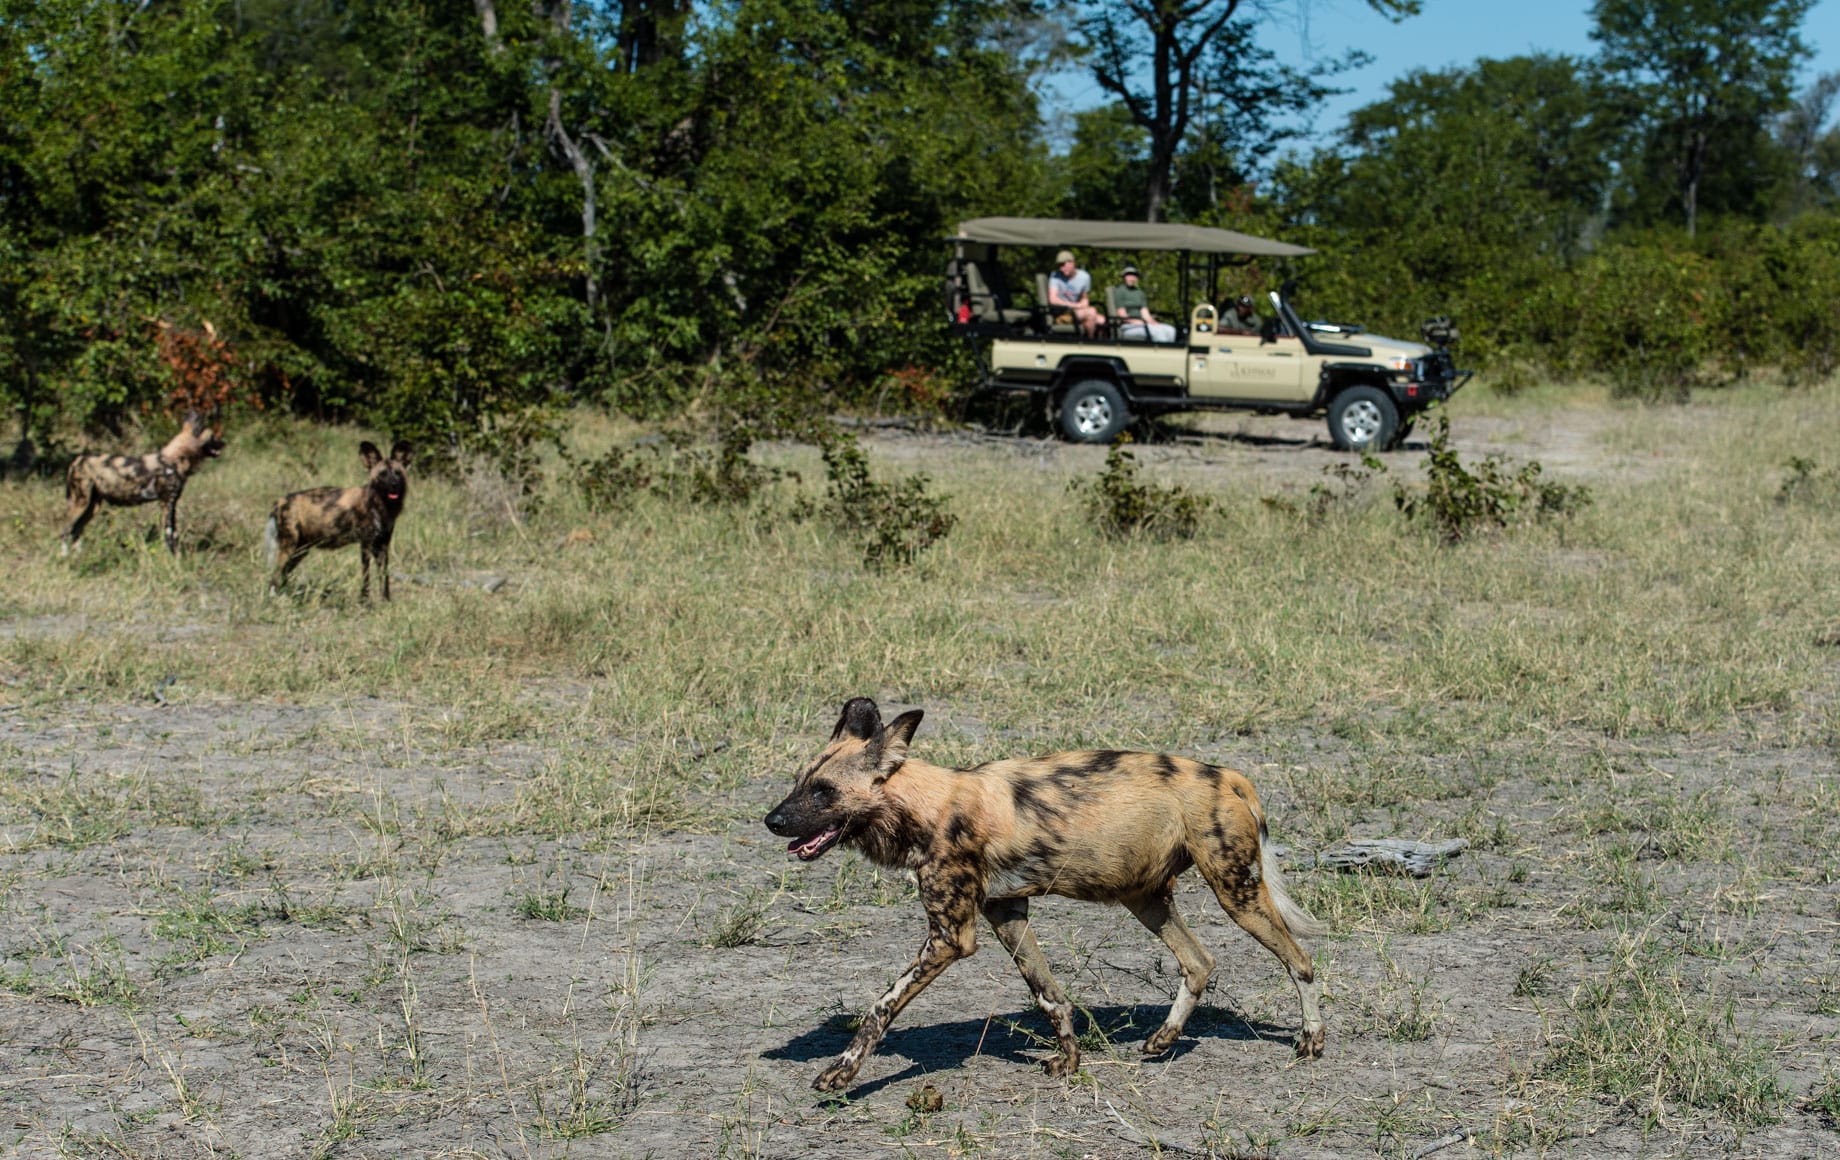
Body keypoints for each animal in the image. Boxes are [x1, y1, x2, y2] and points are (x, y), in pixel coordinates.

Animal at [62, 410, 225, 556]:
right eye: (213, 437)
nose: (224, 443)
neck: (175, 459)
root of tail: (77, 460)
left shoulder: (169, 504)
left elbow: (172, 534)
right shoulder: (167, 503)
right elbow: (169, 534)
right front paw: (173, 558)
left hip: (93, 506)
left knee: (77, 529)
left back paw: (78, 556)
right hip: (80, 503)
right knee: (66, 529)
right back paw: (65, 556)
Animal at [264, 436, 412, 600]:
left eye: (397, 473)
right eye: (383, 474)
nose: (394, 484)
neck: (381, 504)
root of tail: (280, 501)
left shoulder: (382, 545)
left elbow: (384, 576)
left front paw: (386, 601)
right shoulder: (366, 544)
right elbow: (366, 575)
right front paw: (365, 601)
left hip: (300, 550)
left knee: (283, 576)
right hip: (289, 547)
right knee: (275, 577)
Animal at [761, 699, 1324, 1097]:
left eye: (824, 791)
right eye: (798, 784)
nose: (772, 820)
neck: (927, 807)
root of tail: (1228, 775)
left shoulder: (950, 938)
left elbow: (879, 1008)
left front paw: (840, 1074)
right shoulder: (1005, 914)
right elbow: (1049, 995)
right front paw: (1069, 1062)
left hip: (1235, 893)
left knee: (1300, 960)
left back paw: (1311, 1041)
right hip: (1146, 898)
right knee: (1200, 962)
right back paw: (1163, 1040)